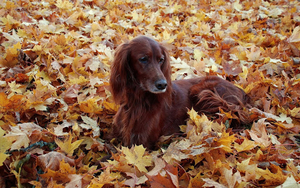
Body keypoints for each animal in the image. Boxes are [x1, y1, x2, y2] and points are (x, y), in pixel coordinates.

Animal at [109, 36, 250, 149]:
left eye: (161, 59)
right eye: (143, 59)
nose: (163, 84)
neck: (138, 100)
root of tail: (242, 91)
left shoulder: (142, 143)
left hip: (201, 91)